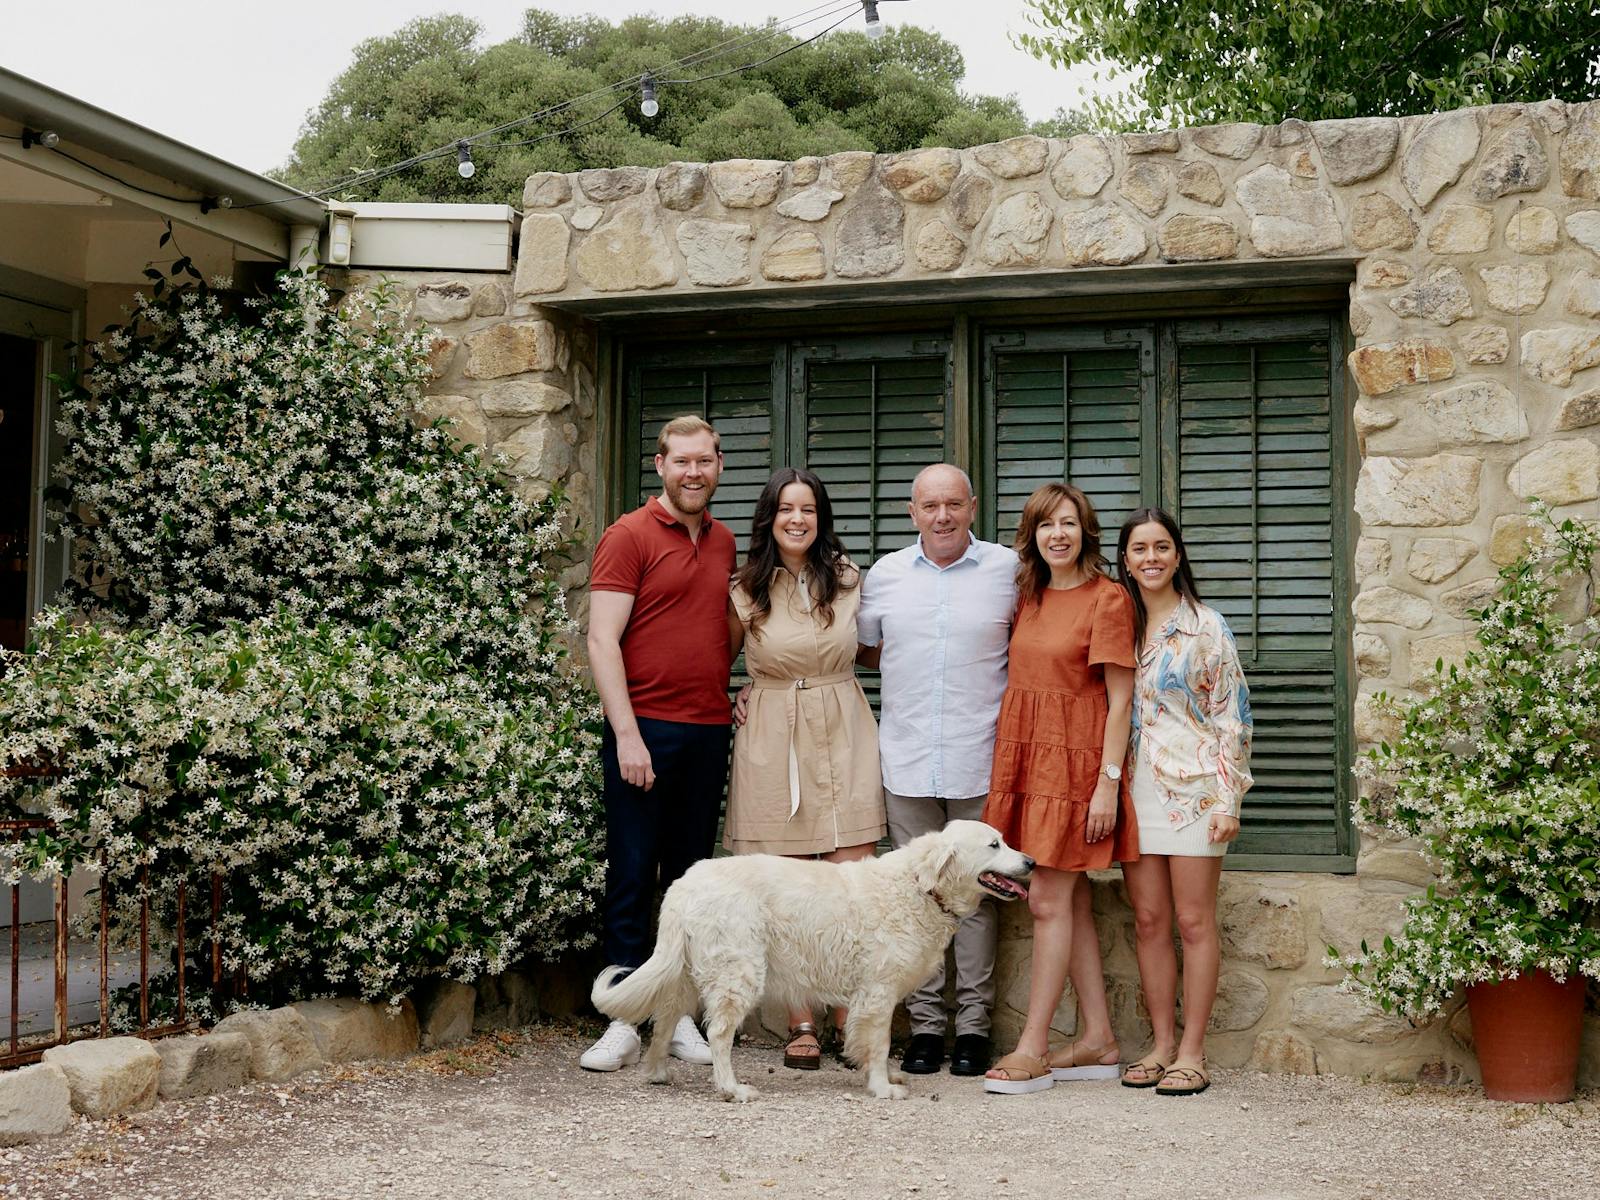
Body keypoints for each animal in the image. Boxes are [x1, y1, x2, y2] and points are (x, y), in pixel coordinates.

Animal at [595, 825, 1030, 1107]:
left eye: (1005, 840)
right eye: (994, 844)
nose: (1031, 861)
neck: (920, 887)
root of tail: (683, 883)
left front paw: (879, 1076)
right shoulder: (879, 993)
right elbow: (880, 1044)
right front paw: (882, 1088)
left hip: (686, 974)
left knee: (664, 1019)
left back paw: (656, 1072)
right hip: (739, 974)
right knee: (717, 1034)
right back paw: (731, 1089)